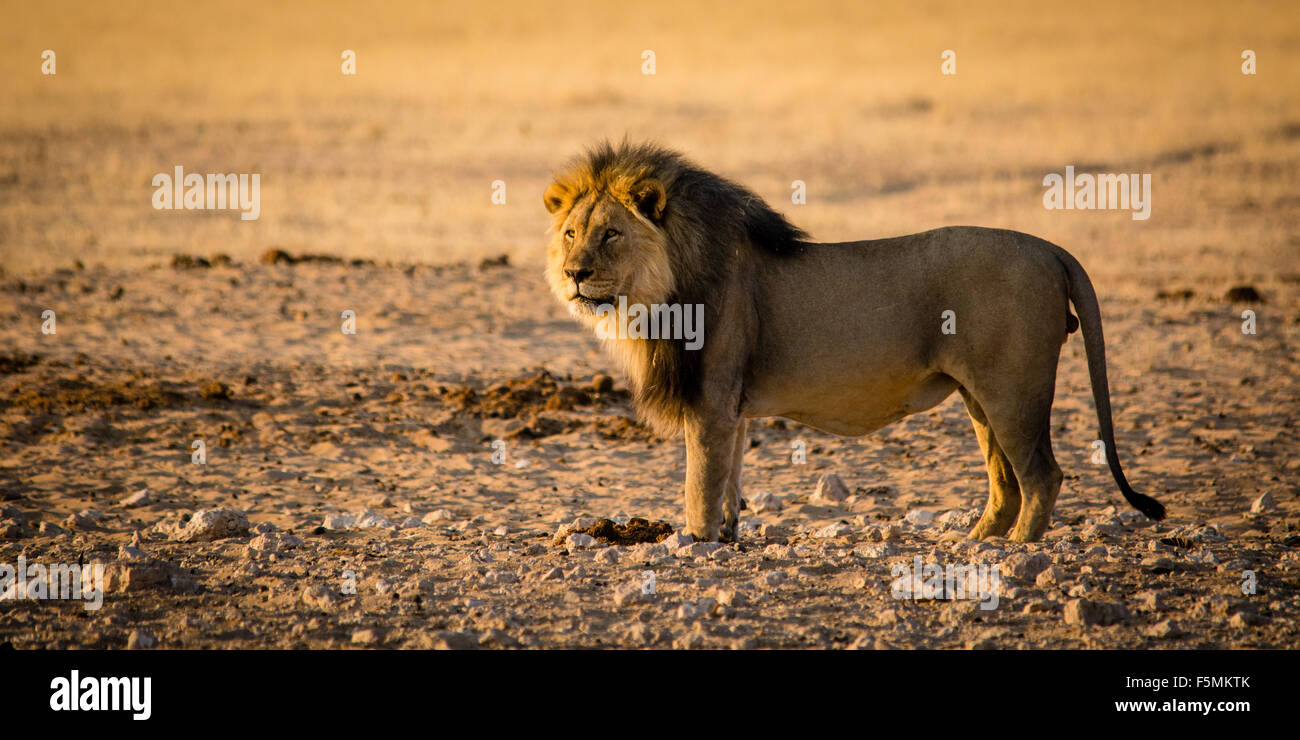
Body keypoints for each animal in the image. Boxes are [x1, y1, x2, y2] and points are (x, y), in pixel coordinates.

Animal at [540, 141, 1170, 543]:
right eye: (570, 233)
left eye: (611, 234)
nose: (574, 273)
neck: (660, 292)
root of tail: (1050, 248)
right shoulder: (732, 406)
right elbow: (730, 477)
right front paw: (728, 537)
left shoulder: (711, 398)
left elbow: (700, 482)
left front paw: (695, 542)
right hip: (981, 398)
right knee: (1006, 483)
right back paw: (973, 544)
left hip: (1013, 390)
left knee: (1042, 476)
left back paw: (1015, 552)